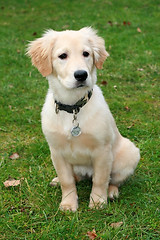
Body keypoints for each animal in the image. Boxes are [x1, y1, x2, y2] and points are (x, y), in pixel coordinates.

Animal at [27, 27, 140, 211]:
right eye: (62, 56)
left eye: (86, 53)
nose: (81, 75)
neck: (73, 107)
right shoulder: (56, 152)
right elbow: (67, 181)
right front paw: (68, 203)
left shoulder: (102, 151)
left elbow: (100, 179)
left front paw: (98, 201)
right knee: (74, 177)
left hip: (129, 154)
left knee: (113, 179)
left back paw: (112, 192)